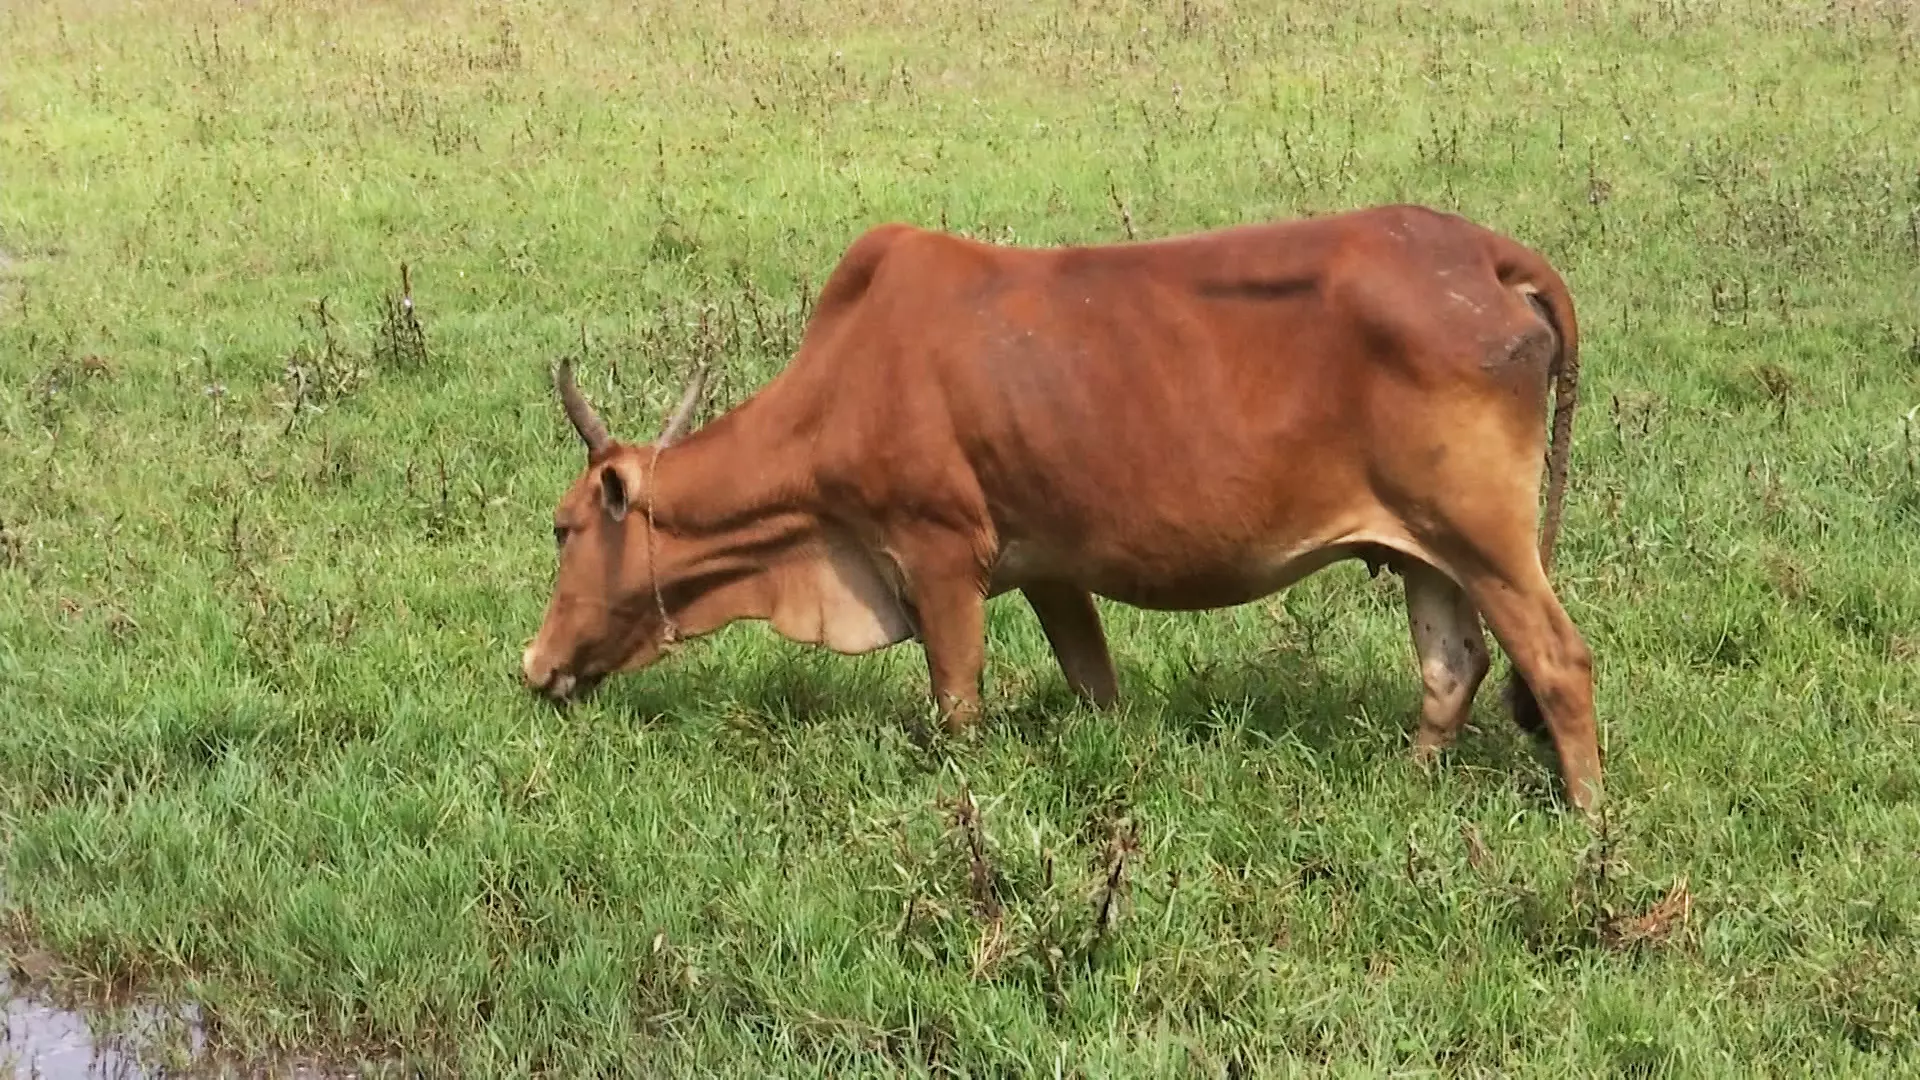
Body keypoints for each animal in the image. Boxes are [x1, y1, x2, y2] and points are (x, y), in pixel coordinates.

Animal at [526, 199, 1605, 807]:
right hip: (1428, 547)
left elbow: (958, 706)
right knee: (1452, 667)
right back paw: (1409, 787)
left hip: (1487, 535)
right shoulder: (1051, 572)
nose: (535, 665)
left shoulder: (940, 555)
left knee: (1558, 663)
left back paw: (1587, 828)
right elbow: (1096, 688)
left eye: (564, 528)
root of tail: (1486, 255)